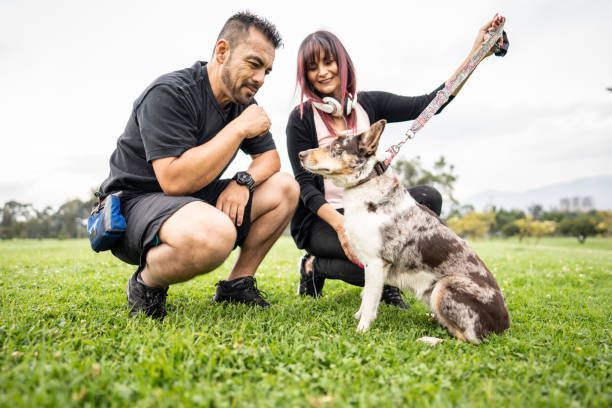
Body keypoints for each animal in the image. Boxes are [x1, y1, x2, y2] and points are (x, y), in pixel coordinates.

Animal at [298, 119, 510, 342]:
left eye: (336, 148)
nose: (300, 155)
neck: (366, 182)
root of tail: (504, 327)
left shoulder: (375, 263)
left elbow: (369, 301)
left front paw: (361, 330)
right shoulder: (368, 264)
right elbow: (366, 298)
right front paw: (358, 318)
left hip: (444, 286)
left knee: (469, 340)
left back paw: (430, 339)